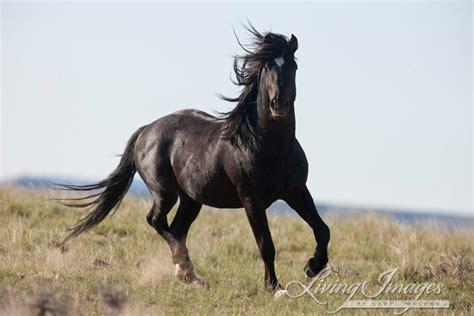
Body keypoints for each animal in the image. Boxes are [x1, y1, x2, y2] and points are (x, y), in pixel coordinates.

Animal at [61, 25, 330, 296]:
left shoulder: (296, 191)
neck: (270, 146)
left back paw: (190, 276)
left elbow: (322, 230)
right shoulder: (252, 201)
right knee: (156, 220)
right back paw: (186, 268)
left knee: (176, 228)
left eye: (293, 66)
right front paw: (274, 288)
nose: (278, 105)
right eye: (266, 68)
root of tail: (147, 129)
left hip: (191, 199)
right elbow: (266, 245)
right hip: (165, 192)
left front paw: (312, 267)